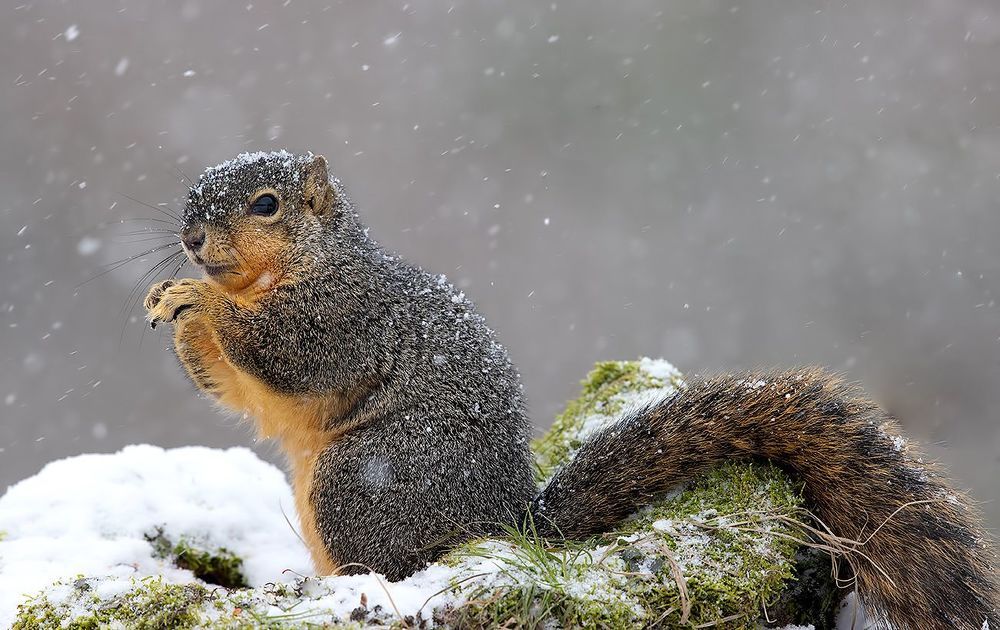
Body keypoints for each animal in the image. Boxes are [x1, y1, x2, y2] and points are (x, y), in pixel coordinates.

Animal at [143, 150, 998, 629]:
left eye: (266, 205)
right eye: (188, 202)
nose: (190, 239)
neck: (295, 270)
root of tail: (511, 523)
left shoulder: (346, 317)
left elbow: (288, 356)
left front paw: (196, 298)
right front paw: (169, 307)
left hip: (363, 480)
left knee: (392, 565)